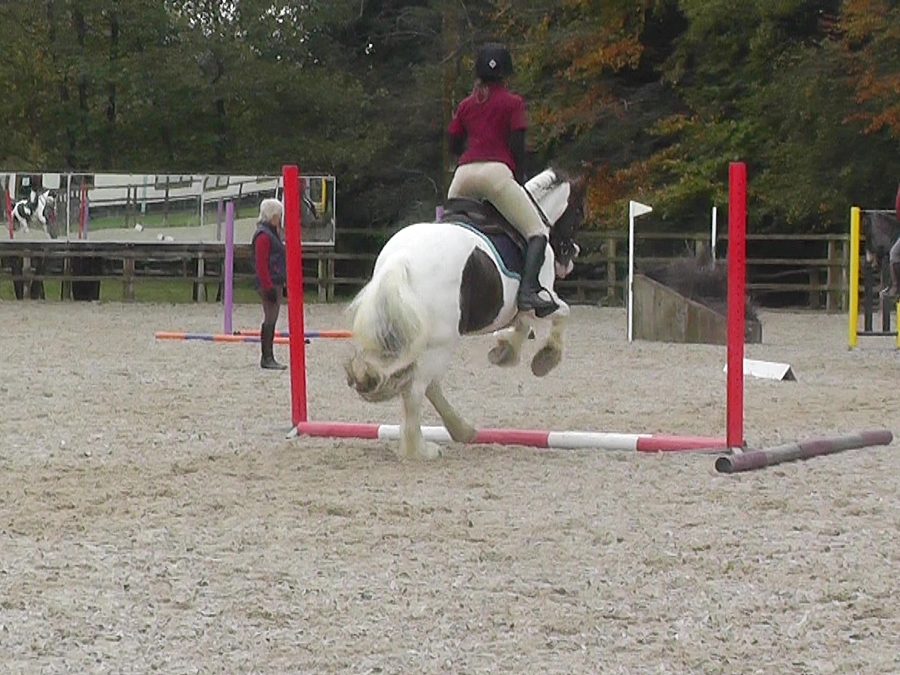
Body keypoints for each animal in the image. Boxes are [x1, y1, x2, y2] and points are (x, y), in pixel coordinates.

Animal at [344, 167, 585, 459]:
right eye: (578, 214)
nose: (573, 255)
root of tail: (401, 259)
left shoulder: (521, 310)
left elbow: (521, 326)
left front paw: (505, 351)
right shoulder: (540, 300)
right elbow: (562, 313)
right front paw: (546, 357)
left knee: (425, 384)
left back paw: (461, 430)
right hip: (440, 342)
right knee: (416, 389)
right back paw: (421, 449)